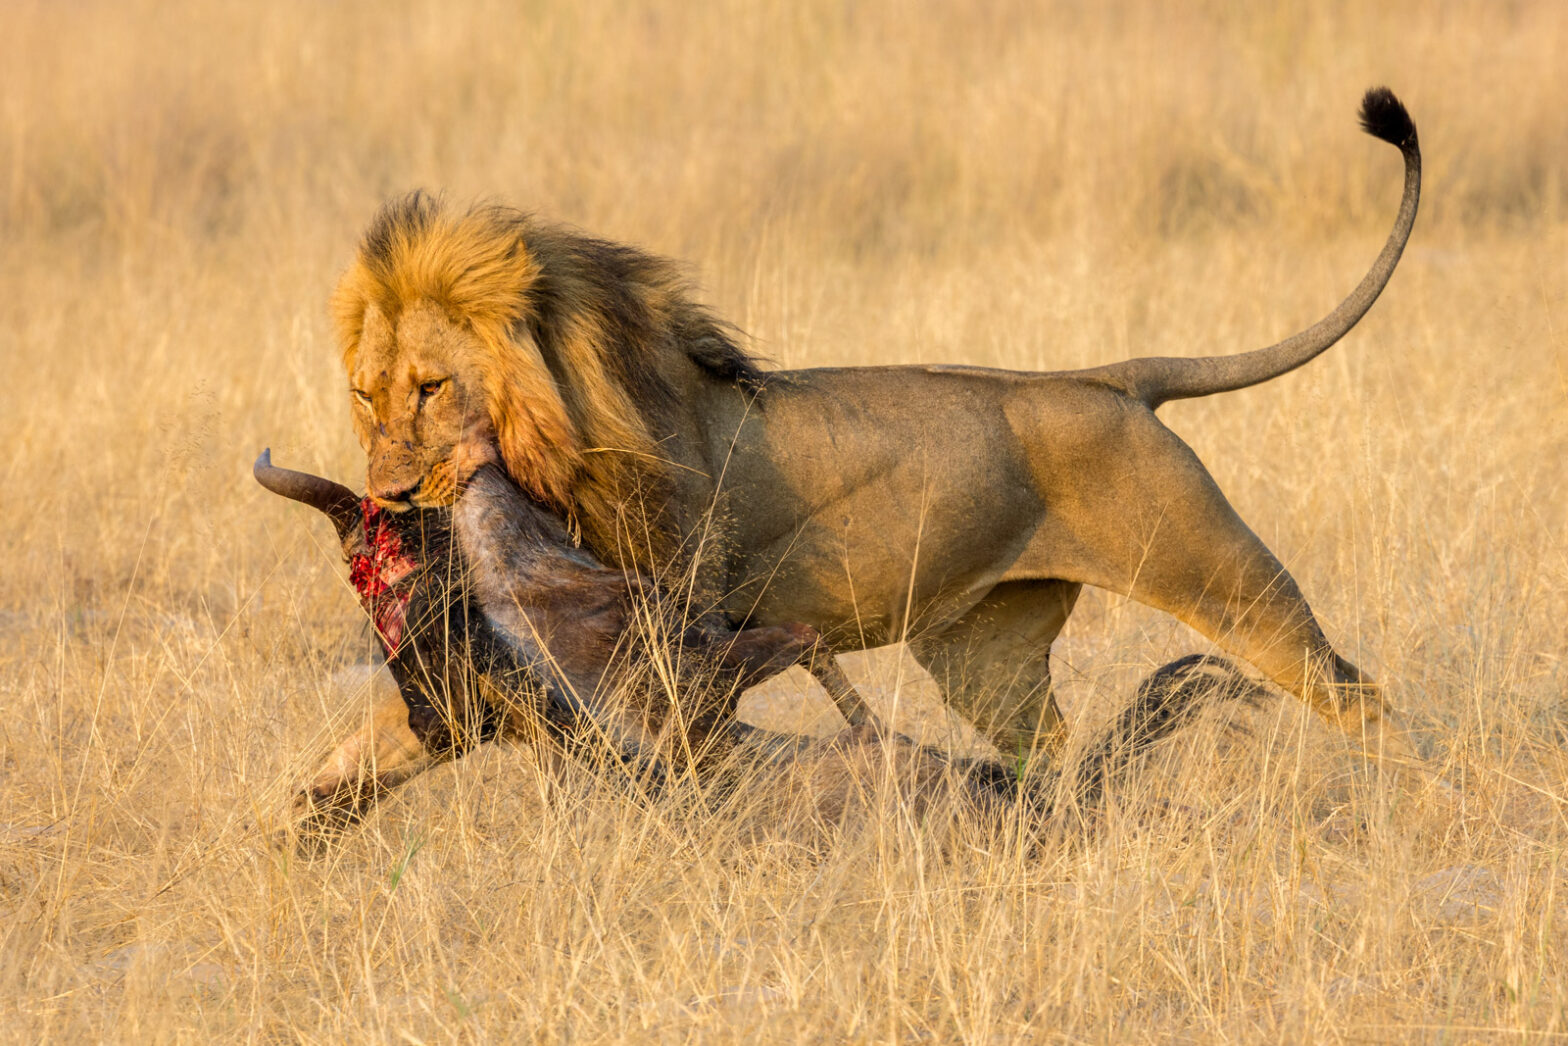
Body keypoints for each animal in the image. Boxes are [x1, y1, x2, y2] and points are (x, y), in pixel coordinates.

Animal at [324, 87, 1426, 780]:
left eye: (431, 388)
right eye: (366, 395)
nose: (387, 494)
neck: (569, 423)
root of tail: (1112, 380)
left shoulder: (658, 638)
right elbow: (371, 747)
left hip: (1225, 582)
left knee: (1360, 697)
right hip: (984, 649)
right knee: (1046, 744)